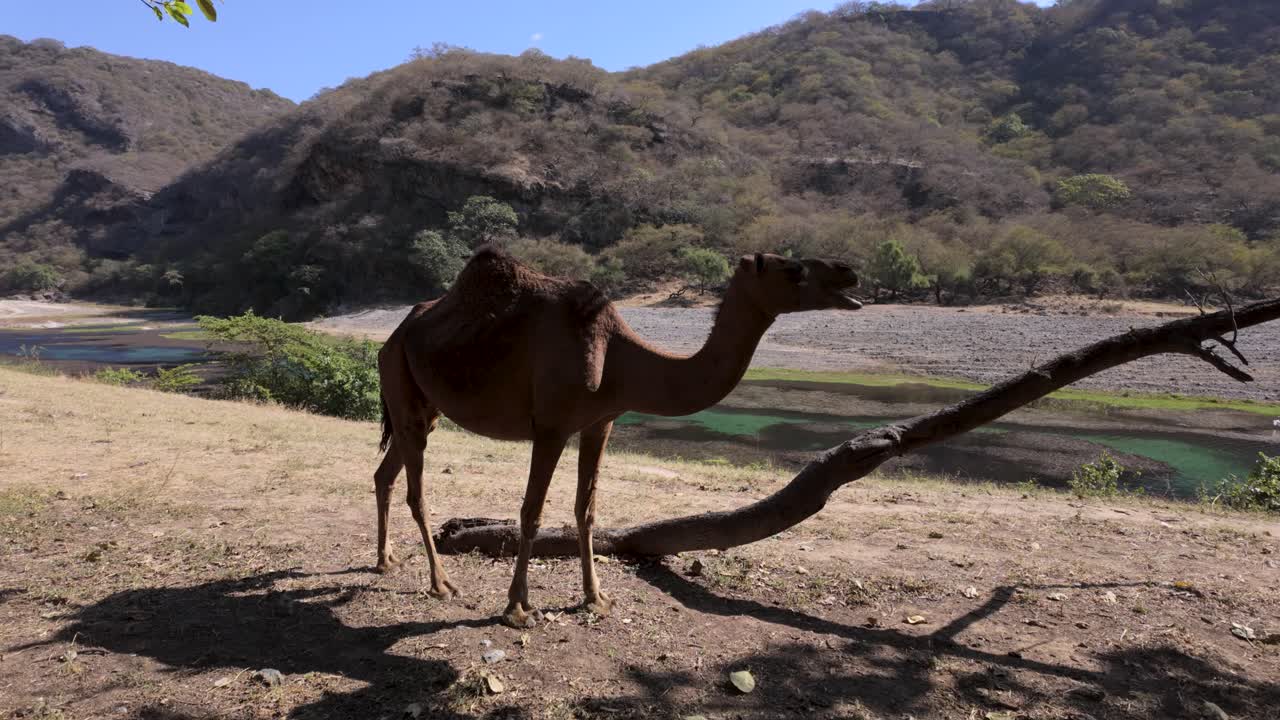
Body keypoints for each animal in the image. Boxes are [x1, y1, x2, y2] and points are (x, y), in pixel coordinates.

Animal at [374, 246, 861, 628]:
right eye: (793, 269)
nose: (849, 271)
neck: (619, 359)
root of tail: (392, 336)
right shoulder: (551, 426)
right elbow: (531, 513)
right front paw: (517, 609)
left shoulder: (601, 422)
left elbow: (586, 510)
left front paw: (597, 599)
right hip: (402, 383)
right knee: (416, 491)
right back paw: (441, 584)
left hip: (422, 406)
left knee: (385, 473)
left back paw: (385, 560)